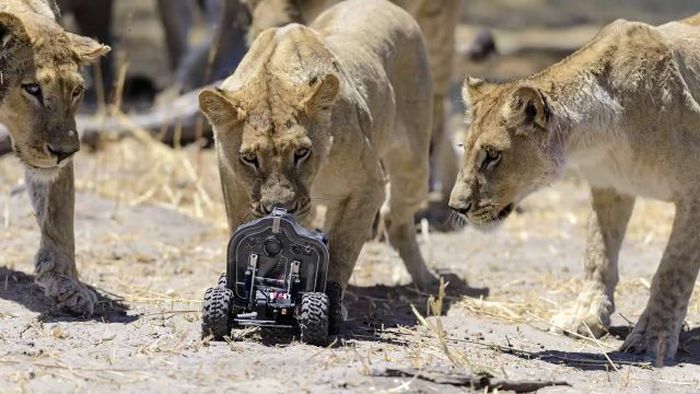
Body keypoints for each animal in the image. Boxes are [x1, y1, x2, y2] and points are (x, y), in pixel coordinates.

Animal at [197, 0, 438, 328]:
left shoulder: (367, 187)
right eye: (249, 158)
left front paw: (331, 301)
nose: (279, 207)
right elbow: (242, 234)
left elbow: (340, 249)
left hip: (414, 164)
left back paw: (424, 279)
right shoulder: (233, 185)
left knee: (395, 215)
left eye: (301, 152)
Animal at [448, 13, 700, 362]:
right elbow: (598, 255)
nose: (455, 207)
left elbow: (672, 271)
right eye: (464, 147)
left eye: (493, 155)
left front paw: (652, 337)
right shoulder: (609, 186)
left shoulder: (693, 193)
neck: (598, 138)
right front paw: (585, 317)